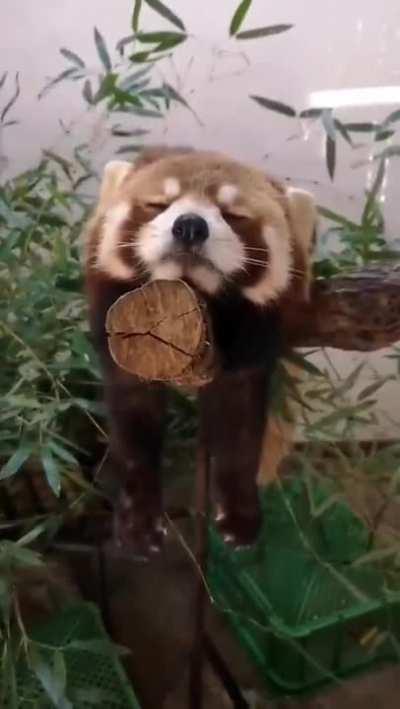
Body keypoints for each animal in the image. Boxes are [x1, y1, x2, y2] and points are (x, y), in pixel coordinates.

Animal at [84, 147, 316, 558]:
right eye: (157, 204)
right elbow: (133, 423)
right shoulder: (125, 334)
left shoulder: (253, 337)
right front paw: (138, 523)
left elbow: (241, 424)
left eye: (234, 214)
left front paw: (240, 515)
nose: (190, 226)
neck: (196, 291)